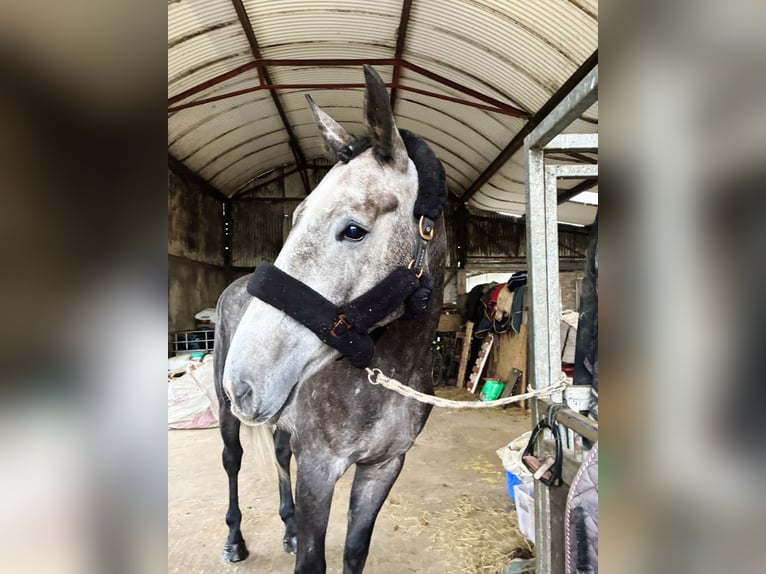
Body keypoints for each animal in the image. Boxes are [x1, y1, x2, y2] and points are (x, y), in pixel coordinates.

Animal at [213, 65, 447, 574]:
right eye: (296, 216)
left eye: (353, 229)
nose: (243, 383)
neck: (386, 375)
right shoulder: (319, 469)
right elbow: (312, 561)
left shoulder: (382, 467)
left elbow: (354, 552)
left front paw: (296, 532)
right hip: (227, 417)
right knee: (232, 460)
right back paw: (235, 540)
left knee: (280, 454)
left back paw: (285, 527)